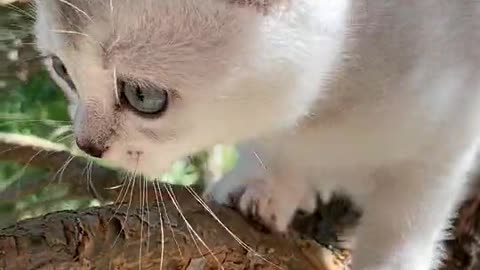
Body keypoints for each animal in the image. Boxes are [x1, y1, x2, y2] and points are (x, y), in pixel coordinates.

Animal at [35, 1, 480, 268]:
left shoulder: (448, 134)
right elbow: (269, 139)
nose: (88, 145)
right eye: (62, 70)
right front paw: (266, 185)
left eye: (143, 97)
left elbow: (405, 221)